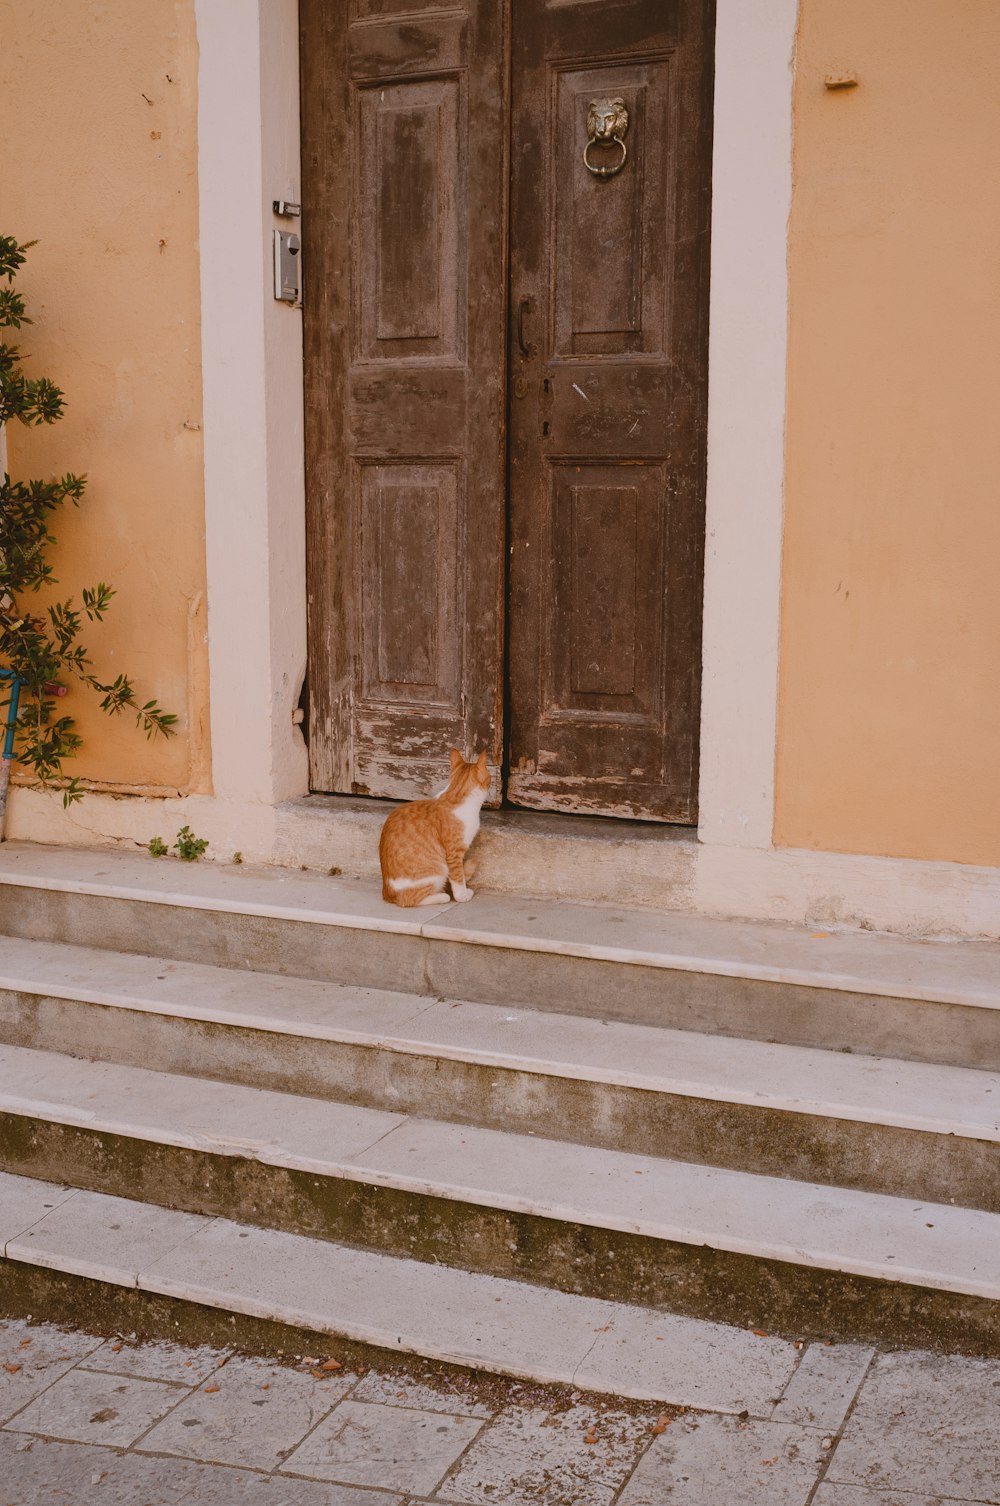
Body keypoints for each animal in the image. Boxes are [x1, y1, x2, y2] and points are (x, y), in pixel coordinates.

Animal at [381, 749, 490, 903]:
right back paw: (442, 896)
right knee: (411, 900)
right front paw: (462, 895)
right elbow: (458, 877)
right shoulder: (453, 854)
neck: (455, 794)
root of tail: (388, 894)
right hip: (438, 870)